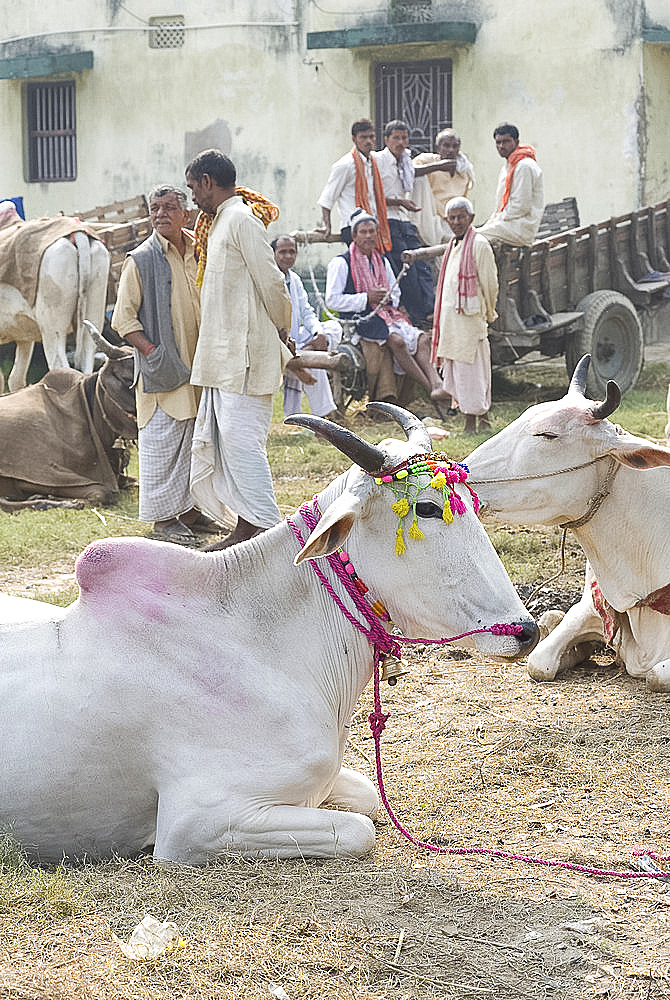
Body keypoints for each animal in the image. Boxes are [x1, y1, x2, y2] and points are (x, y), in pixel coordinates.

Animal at [0, 209, 109, 392]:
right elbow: (15, 379)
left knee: (60, 367)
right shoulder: (24, 336)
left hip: (52, 327)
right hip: (93, 314)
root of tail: (76, 233)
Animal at [0, 402, 540, 864]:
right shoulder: (195, 824)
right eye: (426, 509)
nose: (526, 630)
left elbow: (367, 797)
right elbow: (360, 830)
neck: (262, 648)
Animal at [470, 356, 670, 692]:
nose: (457, 474)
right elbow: (539, 663)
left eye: (547, 435)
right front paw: (576, 649)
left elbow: (657, 676)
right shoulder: (589, 606)